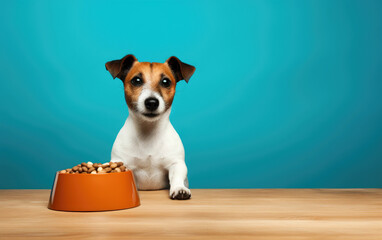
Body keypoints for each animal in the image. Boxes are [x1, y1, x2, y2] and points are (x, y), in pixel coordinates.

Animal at [105, 54, 195, 201]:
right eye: (136, 80)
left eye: (165, 81)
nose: (152, 102)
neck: (148, 130)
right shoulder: (121, 162)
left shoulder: (176, 163)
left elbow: (177, 176)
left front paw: (179, 188)